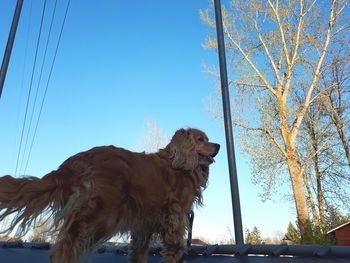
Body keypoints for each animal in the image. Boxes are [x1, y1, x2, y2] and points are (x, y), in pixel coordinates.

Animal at [0, 128, 219, 262]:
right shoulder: (174, 219)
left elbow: (138, 254)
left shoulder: (143, 227)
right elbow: (175, 251)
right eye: (201, 139)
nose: (218, 146)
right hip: (98, 217)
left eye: (208, 139)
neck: (178, 164)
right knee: (62, 251)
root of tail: (72, 163)